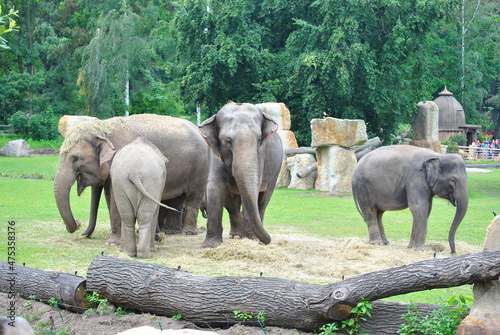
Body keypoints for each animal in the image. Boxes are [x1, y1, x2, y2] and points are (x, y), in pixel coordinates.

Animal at [53, 113, 210, 244]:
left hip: (200, 166)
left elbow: (115, 198)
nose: (78, 228)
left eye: (76, 159)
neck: (104, 129)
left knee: (193, 196)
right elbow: (109, 196)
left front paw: (112, 243)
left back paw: (188, 233)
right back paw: (171, 232)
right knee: (178, 198)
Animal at [199, 101, 286, 247]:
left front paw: (251, 240)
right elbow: (214, 187)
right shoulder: (213, 153)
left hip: (276, 169)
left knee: (263, 201)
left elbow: (254, 190)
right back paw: (236, 236)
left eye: (259, 139)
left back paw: (251, 237)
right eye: (228, 141)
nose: (269, 240)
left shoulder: (259, 155)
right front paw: (210, 245)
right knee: (233, 204)